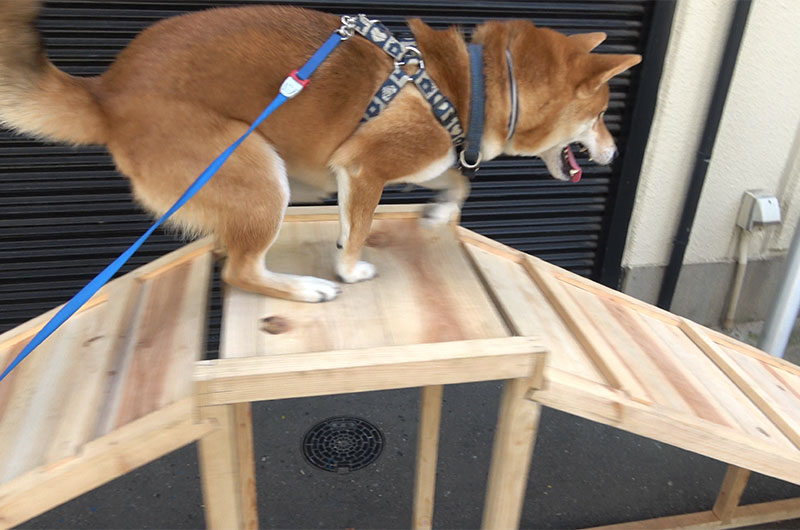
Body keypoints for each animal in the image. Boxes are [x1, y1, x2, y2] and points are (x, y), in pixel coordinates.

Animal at [0, 3, 640, 302]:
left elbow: (453, 181)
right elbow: (362, 226)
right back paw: (305, 289)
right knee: (240, 270)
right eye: (600, 115)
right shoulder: (365, 165)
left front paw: (438, 213)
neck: (471, 90)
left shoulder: (409, 163)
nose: (614, 149)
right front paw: (349, 268)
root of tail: (106, 92)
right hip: (261, 174)